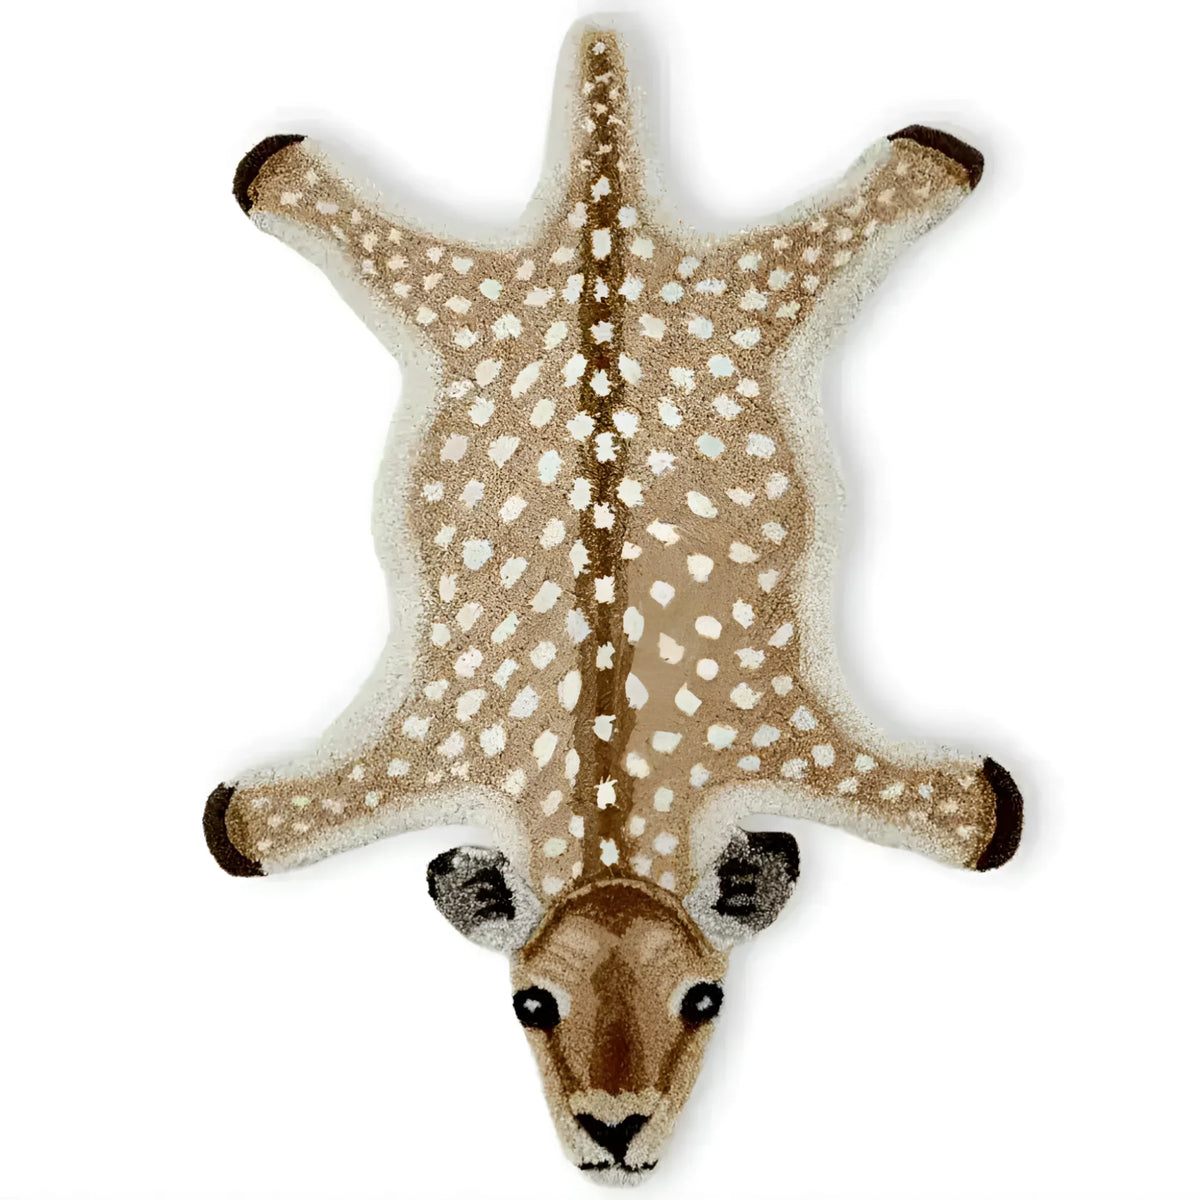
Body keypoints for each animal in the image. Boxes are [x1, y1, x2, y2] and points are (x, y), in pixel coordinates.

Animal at [205, 20, 1023, 1181]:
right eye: (530, 1003)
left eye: (706, 997)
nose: (615, 1131)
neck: (607, 793)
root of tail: (602, 209)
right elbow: (254, 825)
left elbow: (967, 815)